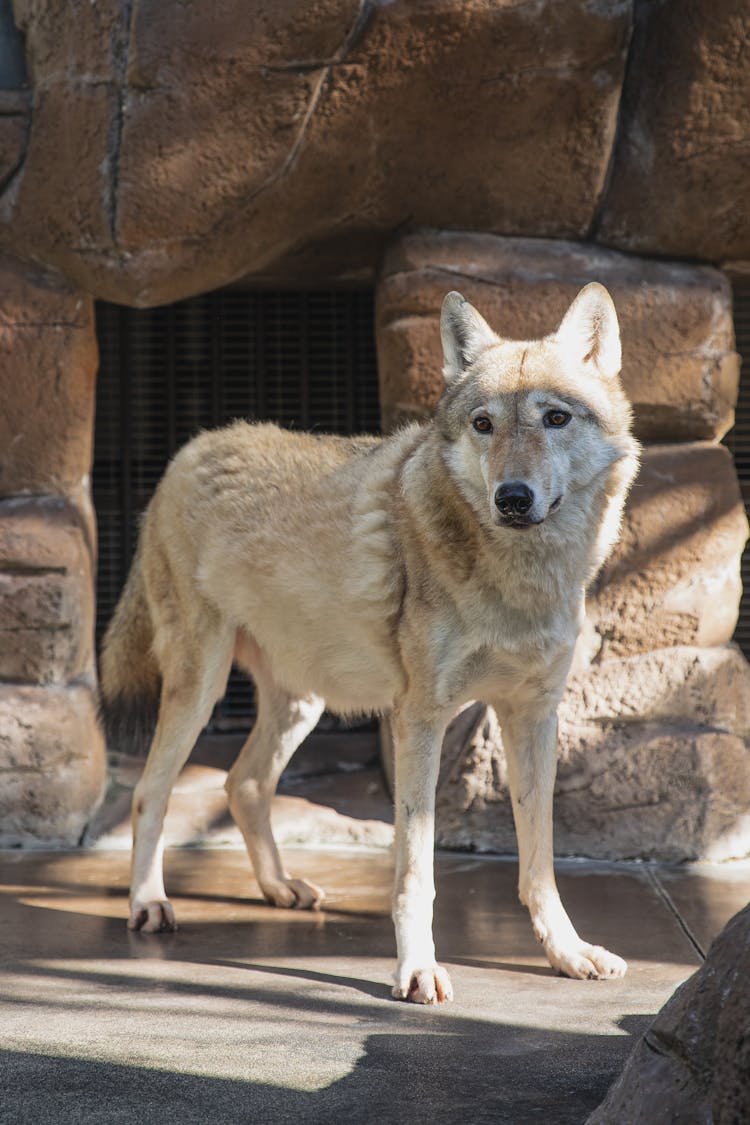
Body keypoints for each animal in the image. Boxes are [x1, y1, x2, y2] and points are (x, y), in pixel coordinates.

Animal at [99, 281, 638, 1003]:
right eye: (484, 425)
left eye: (555, 418)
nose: (513, 497)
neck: (519, 581)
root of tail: (187, 451)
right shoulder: (419, 719)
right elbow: (415, 871)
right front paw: (416, 969)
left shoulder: (532, 717)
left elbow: (540, 864)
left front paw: (569, 952)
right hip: (200, 689)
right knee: (148, 793)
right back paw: (149, 904)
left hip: (302, 703)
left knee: (243, 783)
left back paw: (279, 887)